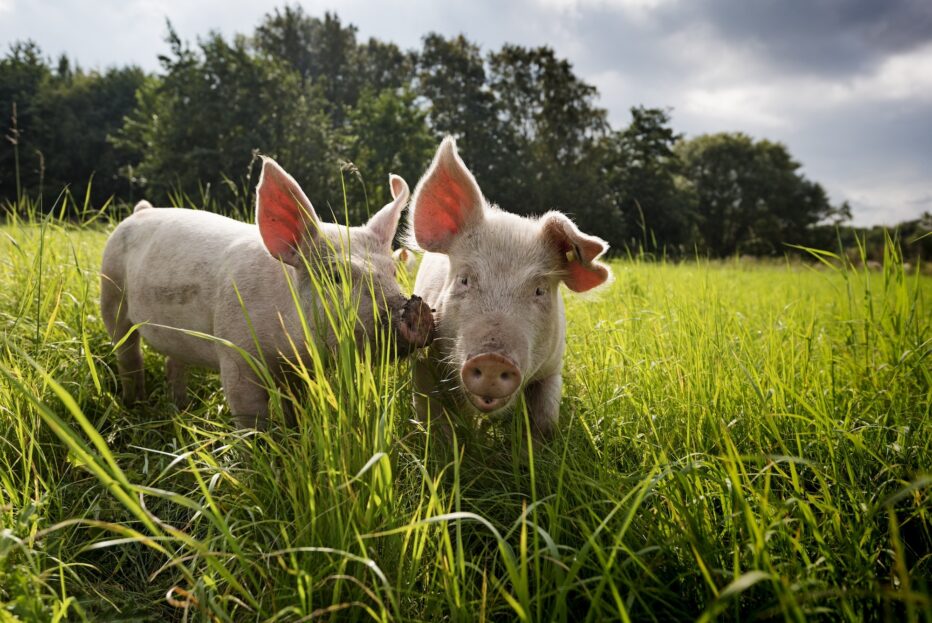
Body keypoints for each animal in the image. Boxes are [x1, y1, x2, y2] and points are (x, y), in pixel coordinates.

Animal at [100, 157, 436, 428]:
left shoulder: (299, 370)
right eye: (335, 276)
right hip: (111, 292)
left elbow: (296, 407)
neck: (287, 351)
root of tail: (140, 211)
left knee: (174, 361)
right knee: (128, 353)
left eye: (393, 273)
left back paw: (180, 407)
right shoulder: (235, 354)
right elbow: (250, 415)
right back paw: (135, 404)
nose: (416, 310)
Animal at [408, 138, 612, 438]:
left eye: (539, 290)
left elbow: (544, 420)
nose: (493, 359)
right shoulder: (422, 360)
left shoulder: (552, 368)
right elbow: (433, 419)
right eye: (464, 279)